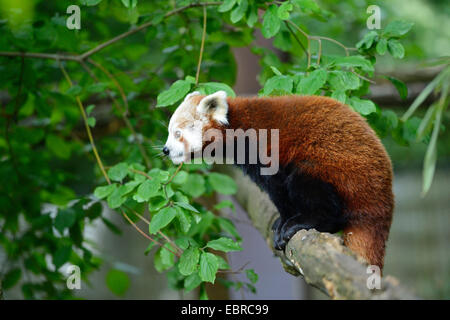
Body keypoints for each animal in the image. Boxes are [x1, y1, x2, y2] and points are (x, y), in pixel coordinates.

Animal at [164, 90, 394, 270]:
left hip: (335, 171)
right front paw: (280, 221)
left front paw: (285, 221)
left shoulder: (264, 151)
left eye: (178, 134)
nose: (166, 150)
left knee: (311, 190)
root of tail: (381, 202)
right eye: (169, 132)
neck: (236, 129)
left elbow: (278, 190)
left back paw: (305, 221)